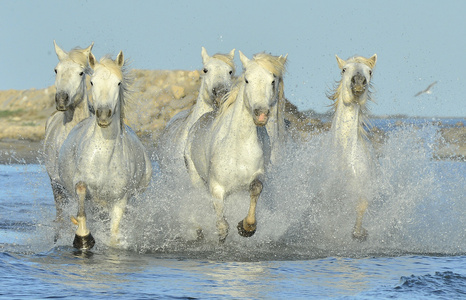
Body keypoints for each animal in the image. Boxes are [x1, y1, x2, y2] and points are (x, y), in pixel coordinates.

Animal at [57, 51, 153, 248]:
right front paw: (83, 238)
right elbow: (81, 206)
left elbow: (114, 234)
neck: (103, 155)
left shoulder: (119, 201)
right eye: (92, 82)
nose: (103, 114)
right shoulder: (82, 184)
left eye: (119, 83)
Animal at [185, 51, 288, 243]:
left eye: (273, 81)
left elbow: (256, 189)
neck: (240, 147)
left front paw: (246, 227)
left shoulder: (257, 175)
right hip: (195, 177)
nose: (261, 114)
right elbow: (222, 224)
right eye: (247, 80)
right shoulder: (216, 186)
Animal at [328, 54, 378, 241]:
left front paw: (359, 233)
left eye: (369, 71)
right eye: (344, 69)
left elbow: (361, 206)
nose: (358, 82)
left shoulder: (362, 189)